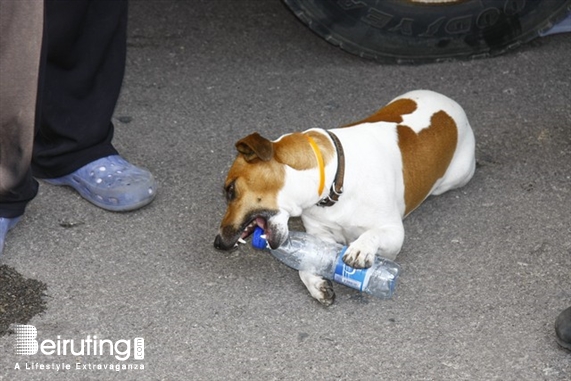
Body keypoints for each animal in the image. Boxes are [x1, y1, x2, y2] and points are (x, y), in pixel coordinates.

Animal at [212, 90, 476, 306]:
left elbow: (372, 234)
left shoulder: (394, 233)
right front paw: (316, 284)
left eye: (230, 189)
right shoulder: (319, 236)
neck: (334, 184)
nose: (218, 243)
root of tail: (451, 103)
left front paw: (360, 249)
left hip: (456, 177)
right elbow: (309, 262)